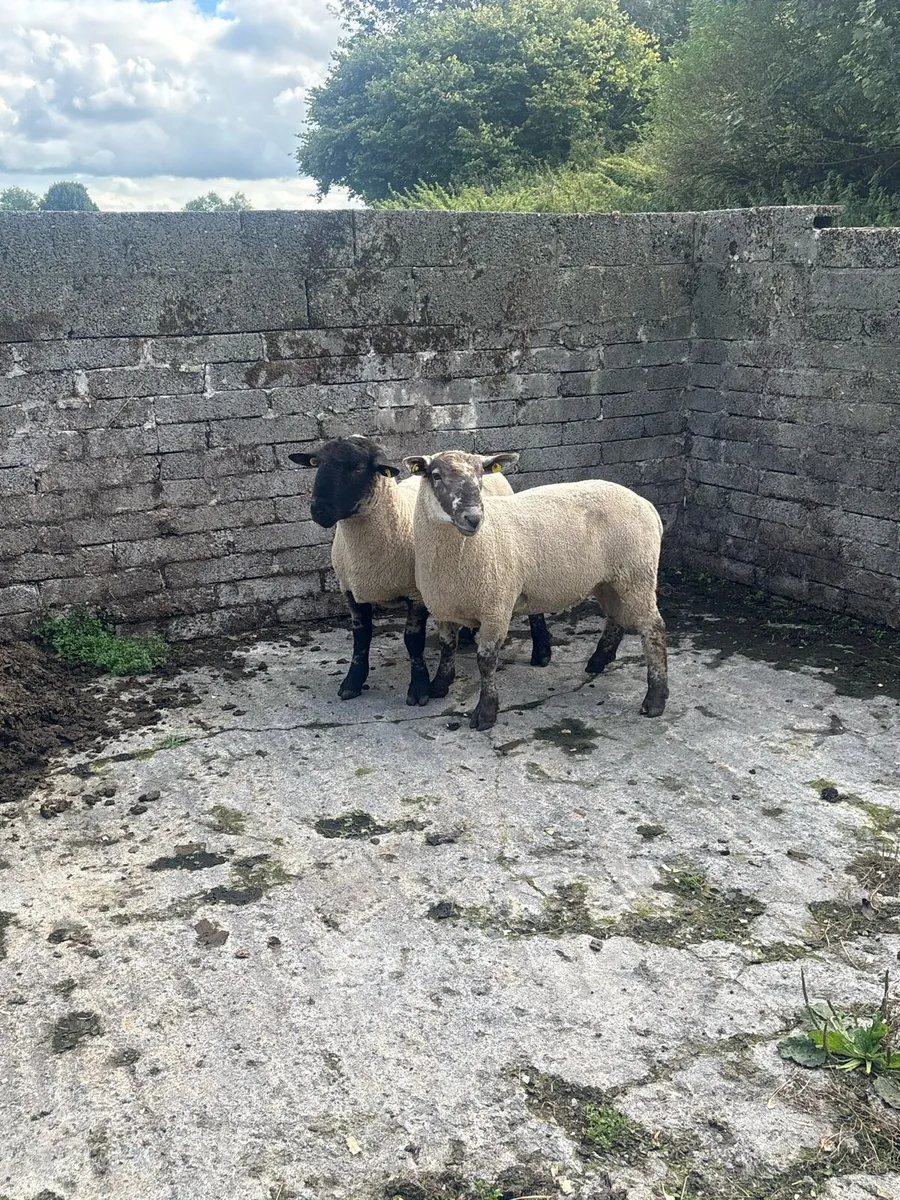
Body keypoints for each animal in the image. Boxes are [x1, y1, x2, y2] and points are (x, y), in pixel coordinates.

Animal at [289, 436, 551, 707]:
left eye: (359, 468)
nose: (318, 511)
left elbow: (412, 640)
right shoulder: (351, 590)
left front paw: (419, 688)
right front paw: (352, 682)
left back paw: (541, 652)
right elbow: (361, 638)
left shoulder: (416, 594)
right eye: (317, 463)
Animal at [404, 449, 669, 731]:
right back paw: (598, 661)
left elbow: (486, 660)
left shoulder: (496, 607)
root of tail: (645, 503)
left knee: (653, 628)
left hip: (637, 572)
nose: (473, 518)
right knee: (615, 616)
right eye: (435, 475)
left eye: (480, 475)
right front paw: (438, 686)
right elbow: (447, 646)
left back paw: (655, 699)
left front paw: (486, 712)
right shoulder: (442, 606)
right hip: (609, 578)